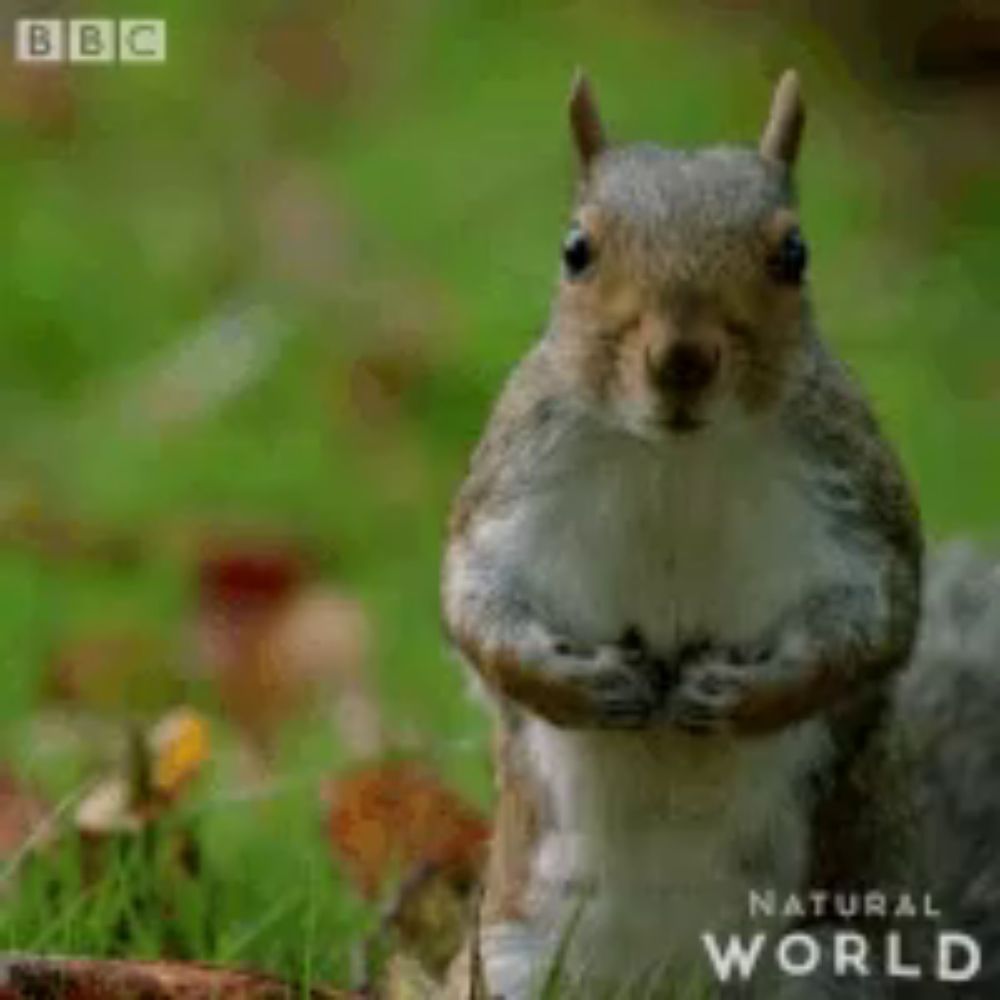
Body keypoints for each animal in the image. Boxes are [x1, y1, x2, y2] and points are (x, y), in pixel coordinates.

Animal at [446, 68, 1000, 992]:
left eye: (794, 253)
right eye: (576, 250)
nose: (681, 359)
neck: (678, 458)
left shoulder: (854, 504)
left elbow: (874, 623)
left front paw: (745, 695)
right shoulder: (513, 486)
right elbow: (478, 605)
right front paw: (581, 684)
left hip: (835, 966)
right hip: (514, 962)